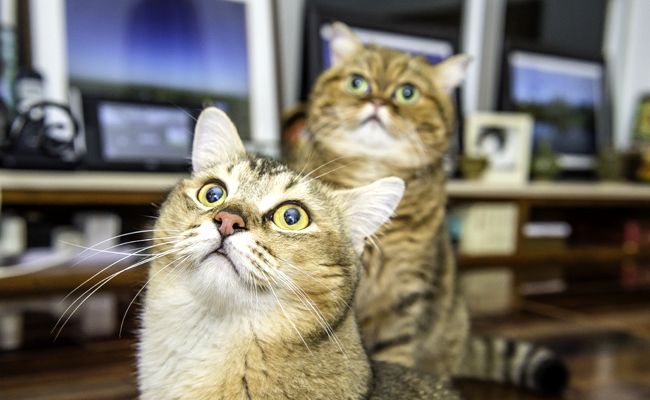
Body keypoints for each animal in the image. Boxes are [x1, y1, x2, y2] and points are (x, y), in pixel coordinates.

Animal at [294, 21, 568, 394]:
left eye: (407, 93)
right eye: (357, 82)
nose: (378, 101)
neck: (373, 172)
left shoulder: (406, 291)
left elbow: (397, 353)